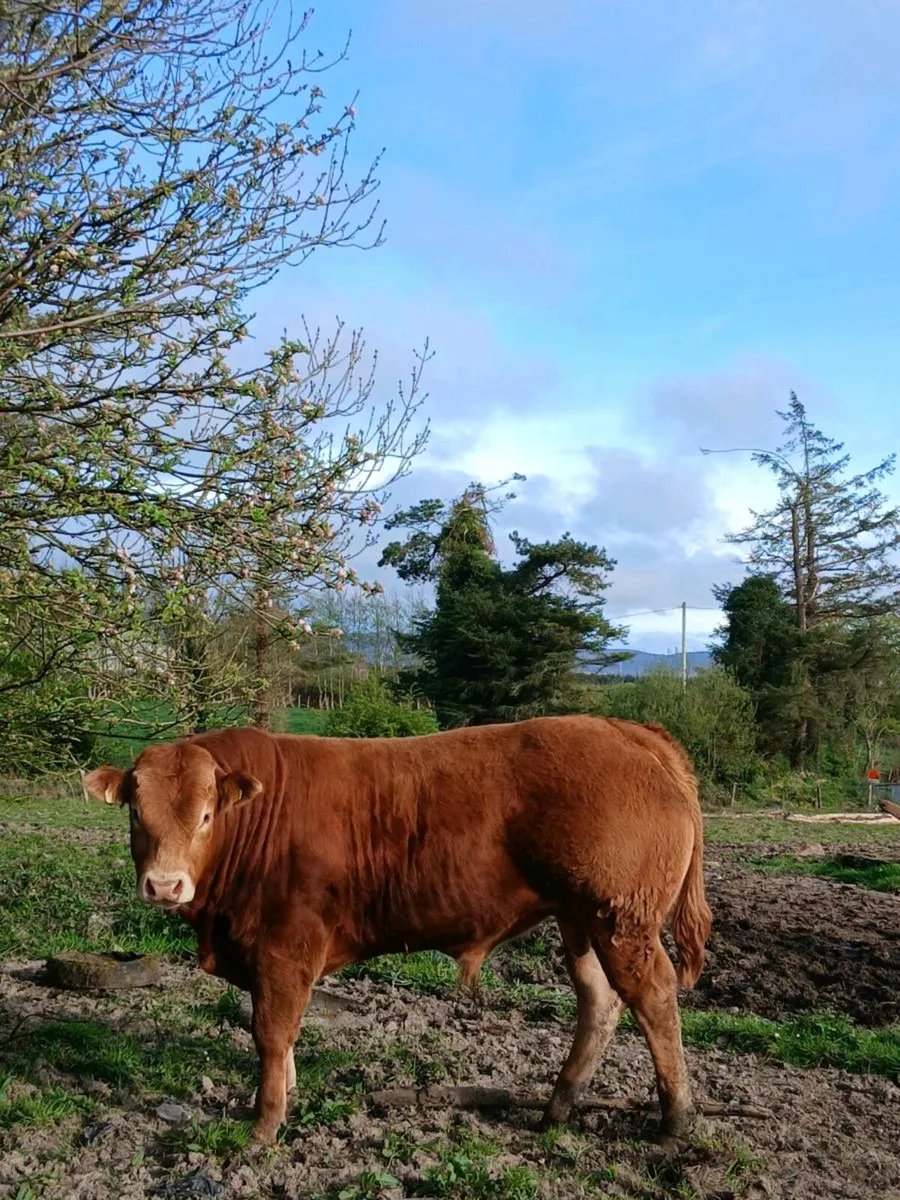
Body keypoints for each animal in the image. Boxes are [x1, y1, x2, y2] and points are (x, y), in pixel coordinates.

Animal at [83, 715, 712, 1146]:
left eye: (206, 815)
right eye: (136, 812)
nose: (165, 885)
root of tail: (626, 729)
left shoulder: (286, 944)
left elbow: (271, 1030)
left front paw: (264, 1124)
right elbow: (281, 1035)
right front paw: (286, 1092)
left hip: (621, 920)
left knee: (653, 997)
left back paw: (675, 1120)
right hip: (579, 919)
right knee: (599, 1001)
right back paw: (557, 1108)